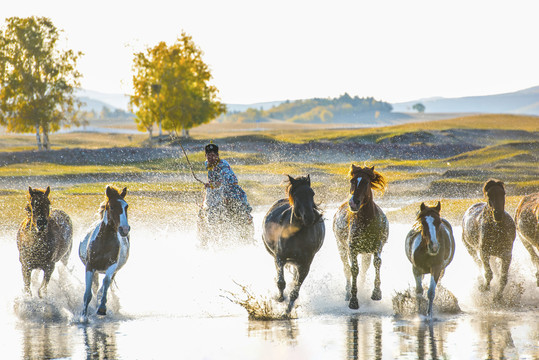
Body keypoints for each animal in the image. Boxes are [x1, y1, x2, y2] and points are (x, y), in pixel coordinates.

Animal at [78, 184, 130, 316]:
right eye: (111, 206)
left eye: (126, 206)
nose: (125, 229)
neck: (104, 243)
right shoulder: (90, 266)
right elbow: (88, 293)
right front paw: (83, 316)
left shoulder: (112, 265)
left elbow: (106, 282)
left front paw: (102, 307)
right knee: (95, 286)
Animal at [262, 174, 324, 312]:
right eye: (296, 194)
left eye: (312, 193)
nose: (309, 217)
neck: (297, 235)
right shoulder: (279, 257)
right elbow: (281, 282)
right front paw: (280, 298)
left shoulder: (305, 264)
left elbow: (295, 290)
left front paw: (287, 312)